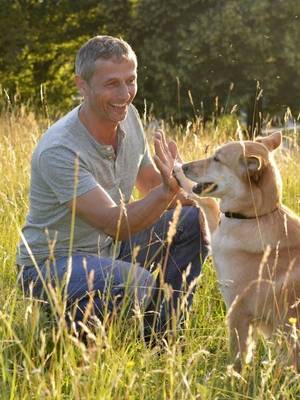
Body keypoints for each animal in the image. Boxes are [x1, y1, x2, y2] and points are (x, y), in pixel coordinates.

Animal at [175, 133, 300, 370]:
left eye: (216, 159)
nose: (185, 166)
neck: (255, 216)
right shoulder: (217, 231)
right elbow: (209, 204)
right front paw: (175, 167)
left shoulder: (238, 312)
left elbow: (237, 359)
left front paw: (230, 378)